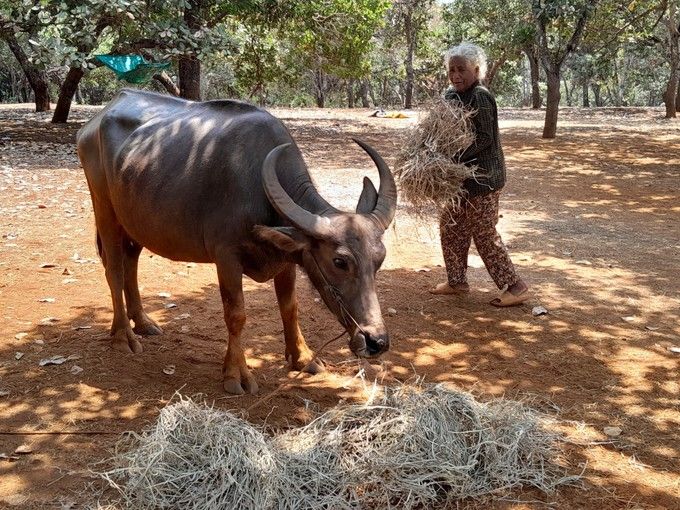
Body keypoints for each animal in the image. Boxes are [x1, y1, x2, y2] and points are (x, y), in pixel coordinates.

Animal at [75, 89, 396, 394]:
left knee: (131, 264)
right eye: (340, 261)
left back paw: (143, 322)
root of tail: (96, 121)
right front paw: (236, 374)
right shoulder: (226, 258)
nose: (376, 341)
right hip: (104, 210)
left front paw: (302, 357)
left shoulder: (285, 259)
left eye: (379, 259)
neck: (257, 186)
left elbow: (289, 306)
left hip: (135, 223)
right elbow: (236, 314)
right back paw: (123, 336)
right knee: (115, 269)